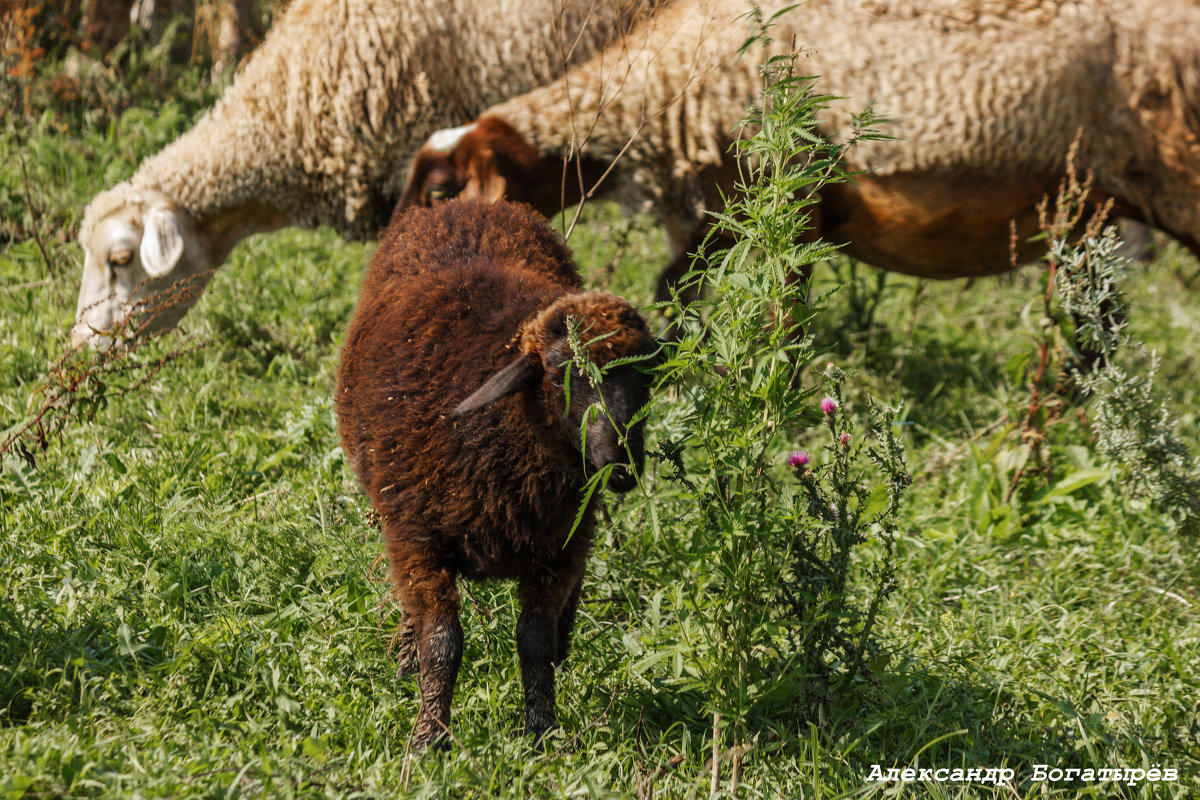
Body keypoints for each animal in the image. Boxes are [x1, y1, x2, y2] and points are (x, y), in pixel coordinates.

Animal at [336, 196, 657, 748]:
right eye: (561, 373)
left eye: (647, 380)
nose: (622, 464)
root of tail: (468, 203)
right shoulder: (417, 539)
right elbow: (442, 642)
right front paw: (429, 738)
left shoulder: (559, 547)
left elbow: (534, 641)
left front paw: (543, 733)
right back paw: (405, 655)